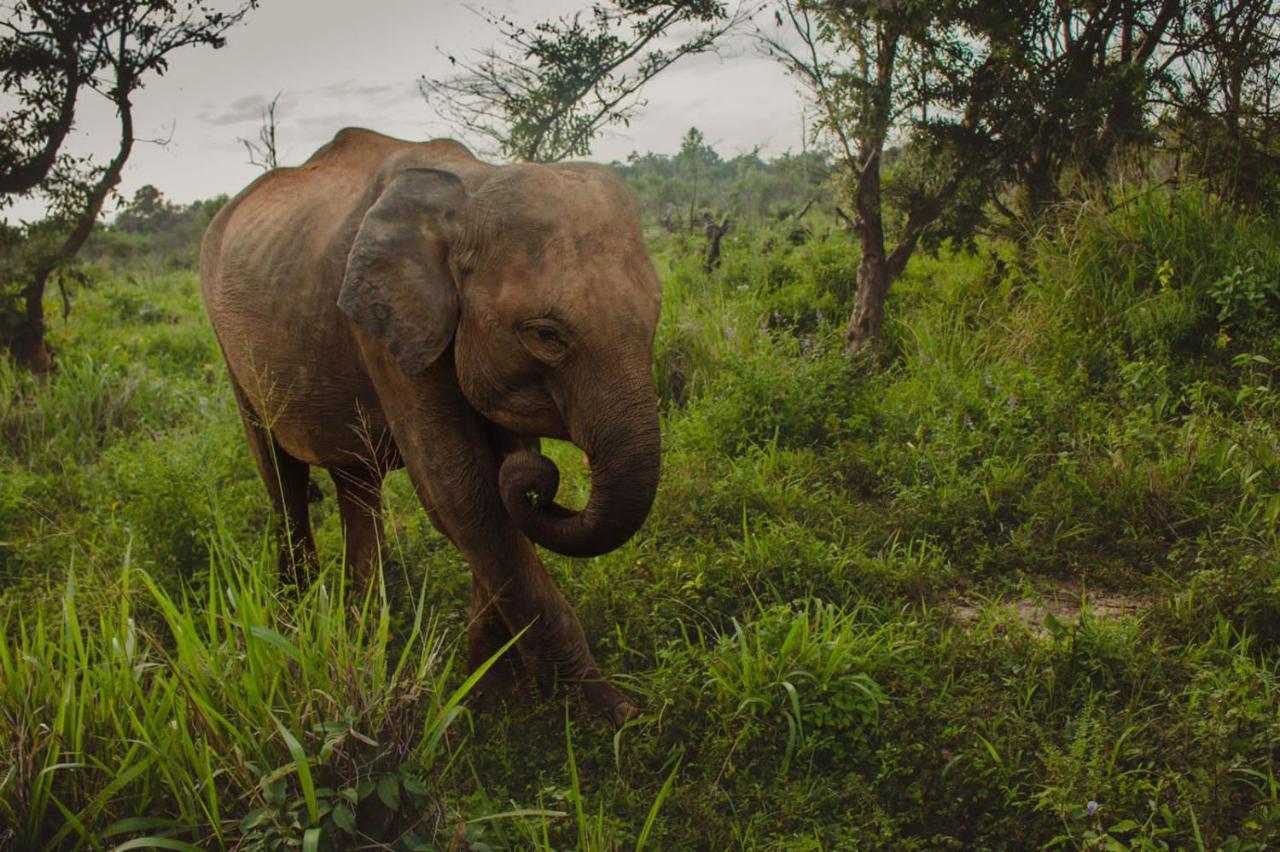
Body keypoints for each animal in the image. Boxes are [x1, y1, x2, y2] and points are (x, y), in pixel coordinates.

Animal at [202, 127, 660, 721]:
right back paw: (296, 622)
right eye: (546, 336)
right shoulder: (383, 329)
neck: (471, 187)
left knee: (355, 482)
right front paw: (607, 716)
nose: (548, 488)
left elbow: (494, 476)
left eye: (655, 314)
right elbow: (461, 492)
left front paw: (491, 696)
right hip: (229, 347)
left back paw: (363, 627)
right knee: (283, 480)